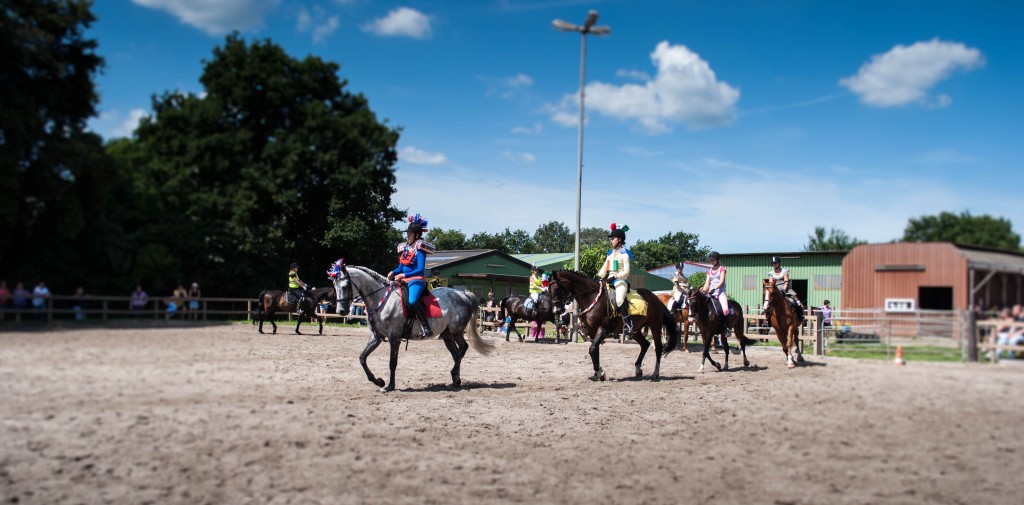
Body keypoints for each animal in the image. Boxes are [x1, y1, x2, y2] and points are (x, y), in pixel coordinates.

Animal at [329, 262, 493, 391]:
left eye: (345, 286)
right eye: (334, 286)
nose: (341, 311)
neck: (381, 299)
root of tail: (463, 294)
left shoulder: (394, 337)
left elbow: (392, 362)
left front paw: (389, 386)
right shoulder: (376, 337)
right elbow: (362, 358)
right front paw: (379, 381)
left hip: (456, 331)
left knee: (462, 349)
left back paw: (455, 376)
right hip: (447, 335)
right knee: (456, 353)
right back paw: (455, 379)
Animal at [544, 270, 679, 379]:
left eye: (556, 288)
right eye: (548, 291)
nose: (556, 310)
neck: (592, 296)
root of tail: (656, 297)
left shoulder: (604, 328)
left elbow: (592, 349)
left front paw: (600, 373)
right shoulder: (592, 330)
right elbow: (595, 349)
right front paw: (597, 373)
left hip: (655, 326)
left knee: (658, 348)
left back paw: (655, 373)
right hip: (635, 330)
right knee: (645, 344)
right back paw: (638, 369)